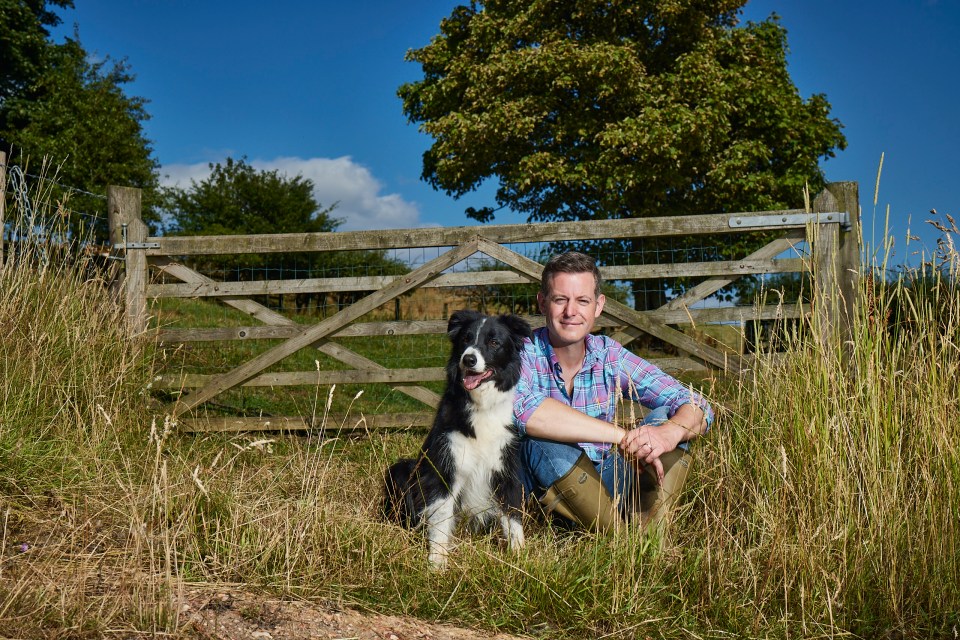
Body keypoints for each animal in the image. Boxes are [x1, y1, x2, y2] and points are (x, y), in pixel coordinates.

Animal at [382, 310, 532, 564]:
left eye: (494, 342)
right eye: (465, 339)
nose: (468, 359)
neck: (481, 405)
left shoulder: (505, 468)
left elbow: (512, 514)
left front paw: (518, 554)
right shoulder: (445, 466)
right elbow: (441, 516)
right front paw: (437, 562)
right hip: (402, 470)